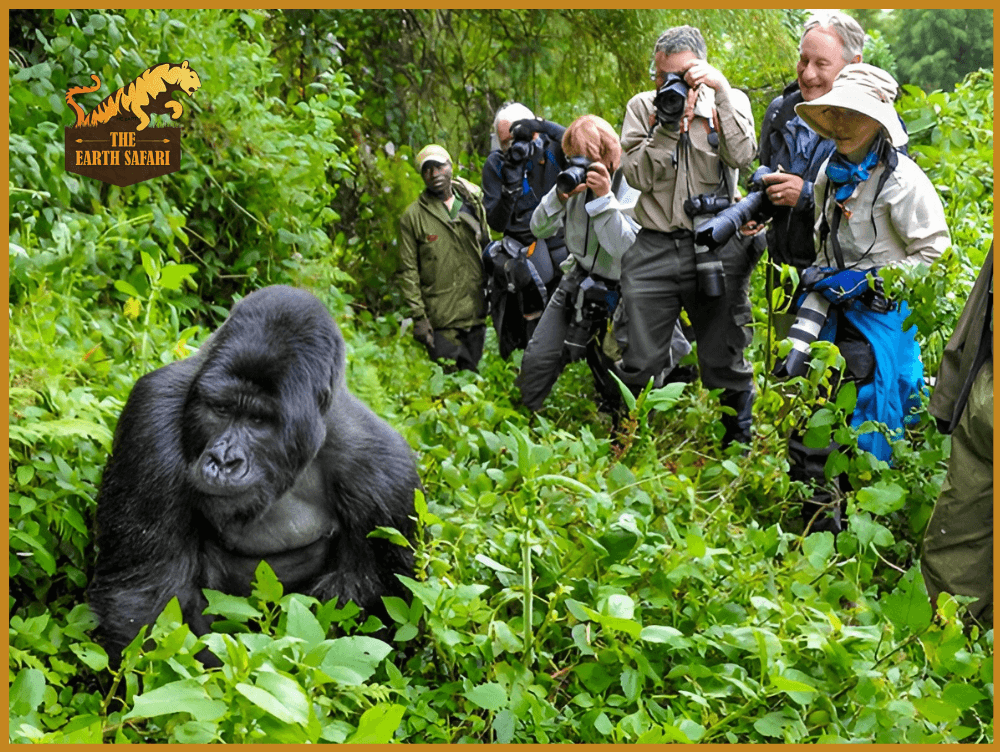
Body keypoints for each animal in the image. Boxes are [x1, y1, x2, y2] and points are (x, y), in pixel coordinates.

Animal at [88, 284, 420, 660]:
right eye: (221, 409)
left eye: (259, 420)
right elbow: (146, 599)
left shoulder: (387, 478)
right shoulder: (152, 415)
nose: (223, 461)